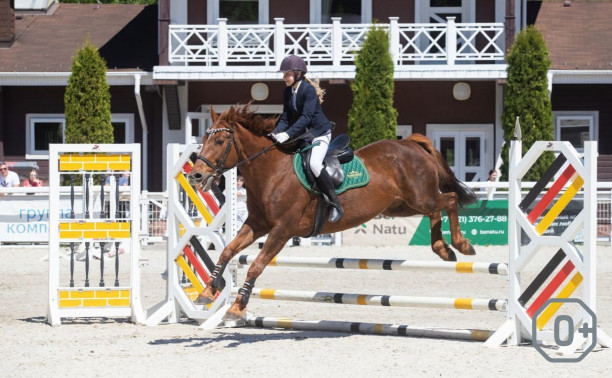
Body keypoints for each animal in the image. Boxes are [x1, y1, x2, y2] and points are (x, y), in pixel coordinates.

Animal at [189, 105, 476, 320]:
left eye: (220, 140)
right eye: (203, 139)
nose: (195, 176)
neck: (271, 172)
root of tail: (412, 144)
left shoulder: (282, 230)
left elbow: (256, 266)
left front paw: (237, 308)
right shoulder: (257, 225)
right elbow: (227, 251)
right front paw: (206, 292)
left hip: (419, 198)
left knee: (450, 200)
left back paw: (462, 245)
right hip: (404, 205)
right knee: (436, 211)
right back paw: (442, 248)